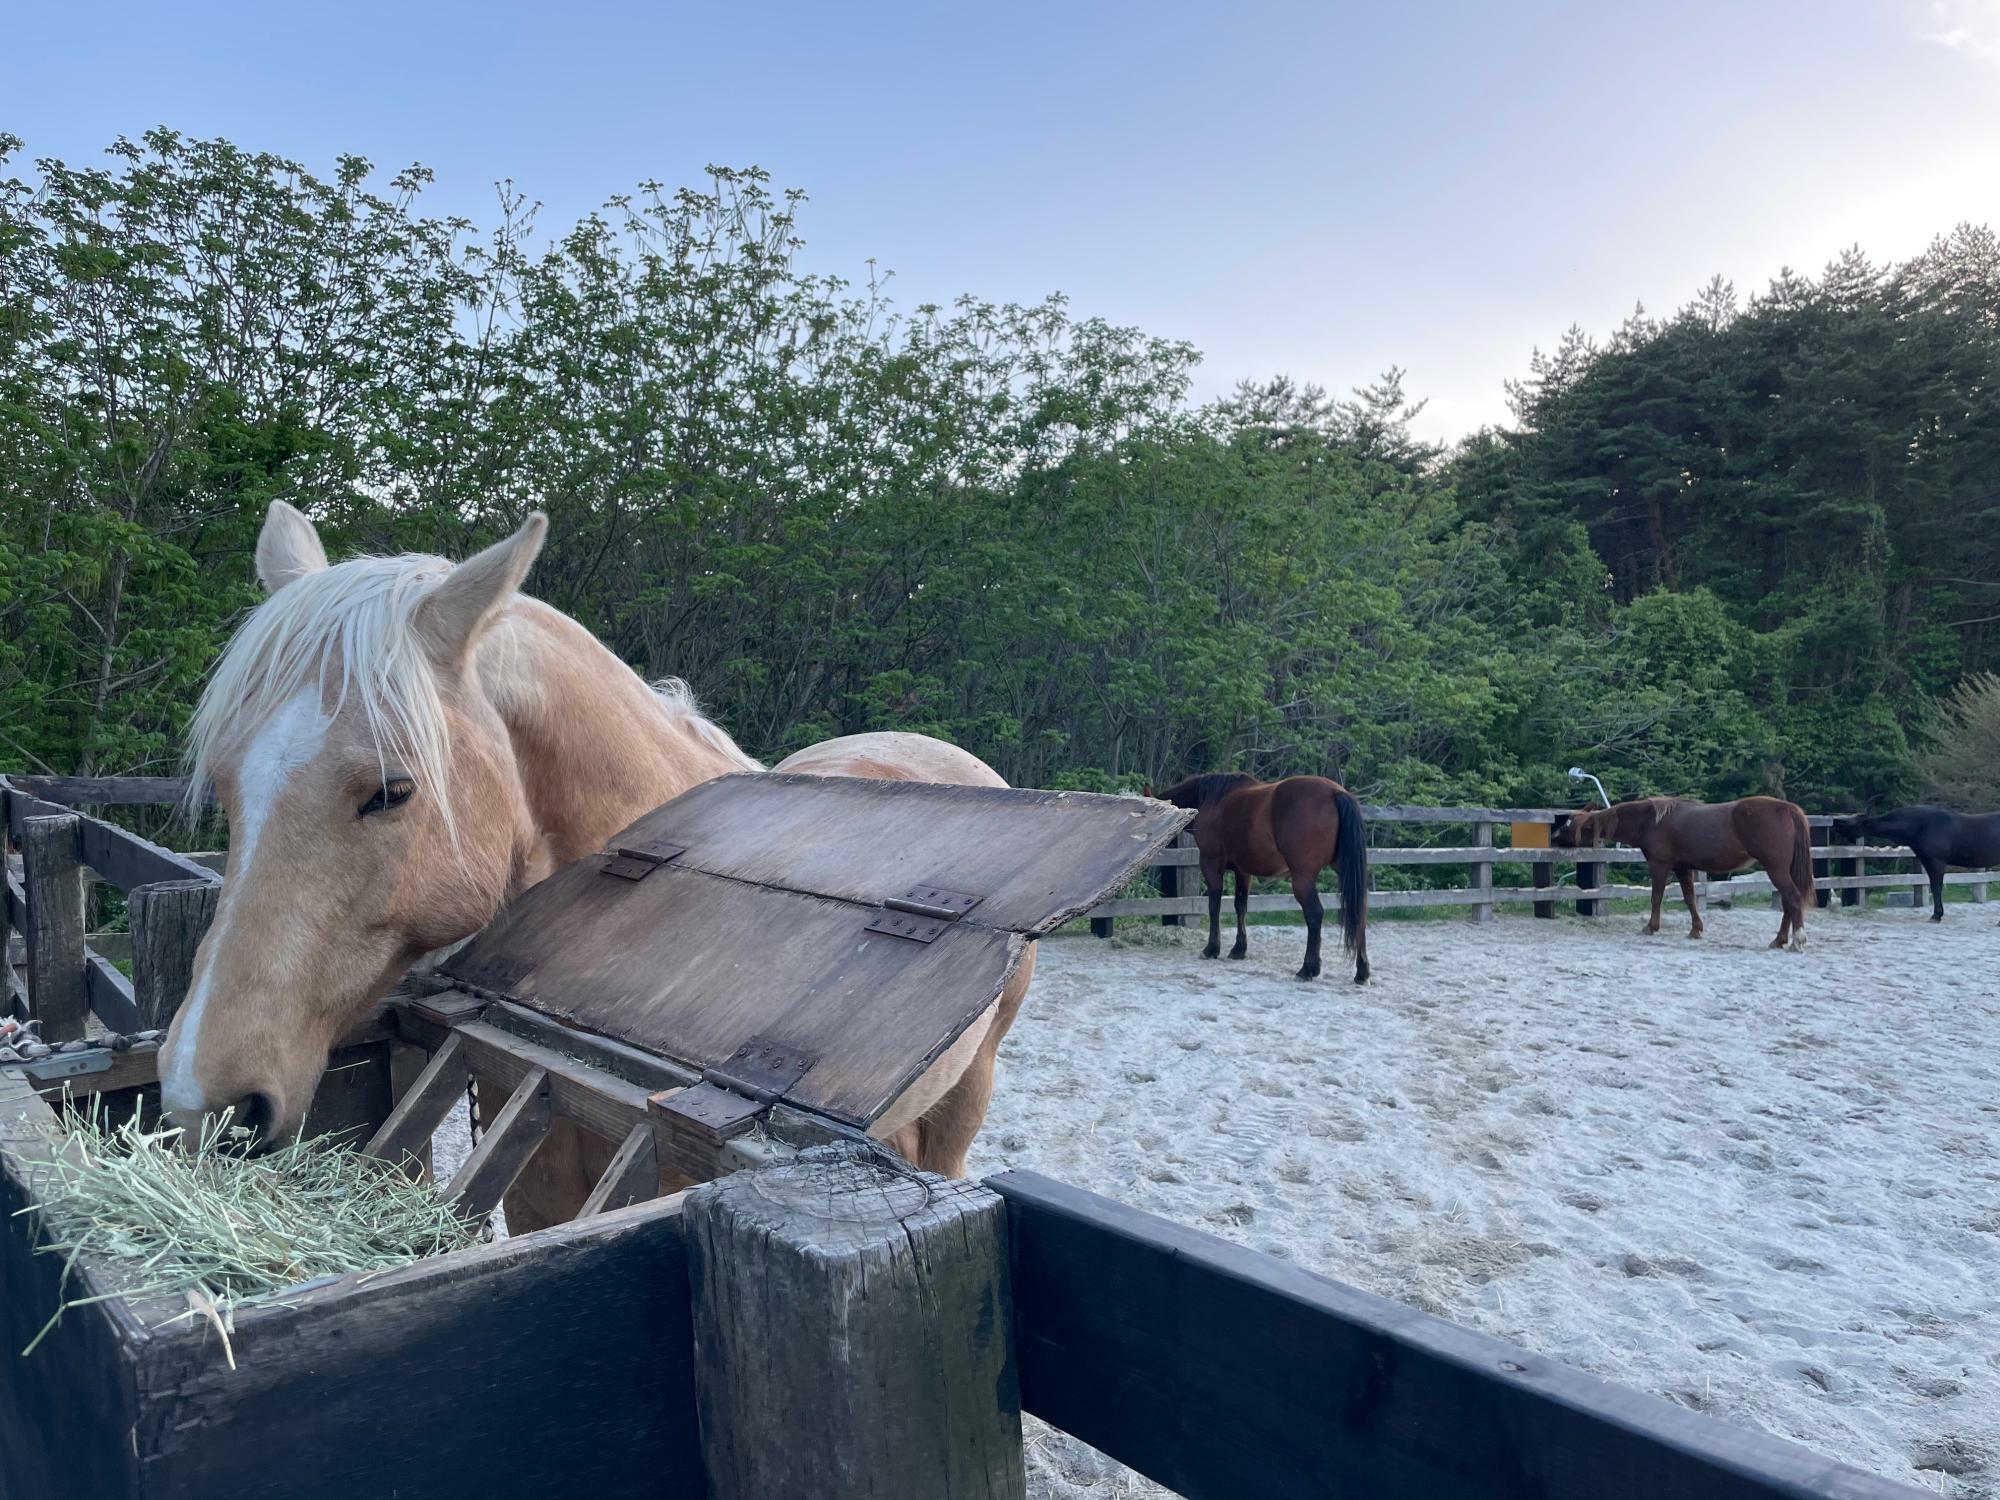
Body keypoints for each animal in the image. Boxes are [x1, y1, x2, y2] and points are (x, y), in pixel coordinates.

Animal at [1144, 776, 1376, 988]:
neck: (1210, 799)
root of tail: (1335, 793)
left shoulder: (1211, 863)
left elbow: (1214, 906)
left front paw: (1212, 949)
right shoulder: (1243, 871)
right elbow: (1240, 906)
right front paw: (1239, 949)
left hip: (1303, 877)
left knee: (1315, 914)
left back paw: (1307, 969)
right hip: (1343, 870)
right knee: (1360, 914)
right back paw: (1362, 972)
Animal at [1552, 800, 1824, 952]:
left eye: (1568, 825)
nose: (1553, 838)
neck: (1653, 821)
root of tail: (1788, 808)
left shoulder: (1660, 865)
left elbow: (1657, 897)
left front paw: (1651, 926)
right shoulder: (1683, 868)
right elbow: (1690, 898)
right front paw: (1696, 930)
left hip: (1775, 869)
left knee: (1793, 898)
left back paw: (1797, 941)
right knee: (1789, 903)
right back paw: (1779, 940)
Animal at [1832, 804, 2000, 924]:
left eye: (1855, 822)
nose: (1836, 821)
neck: (1922, 824)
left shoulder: (1937, 861)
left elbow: (1937, 888)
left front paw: (1936, 916)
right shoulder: (1926, 861)